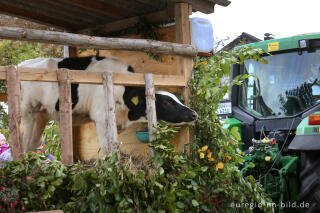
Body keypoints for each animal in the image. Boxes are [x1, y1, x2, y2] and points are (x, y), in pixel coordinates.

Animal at [18, 55, 199, 154]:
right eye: (168, 102)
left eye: (177, 99)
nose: (194, 114)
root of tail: (22, 64)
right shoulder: (101, 118)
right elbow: (107, 149)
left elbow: (115, 146)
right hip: (28, 112)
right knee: (23, 144)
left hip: (41, 116)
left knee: (31, 145)